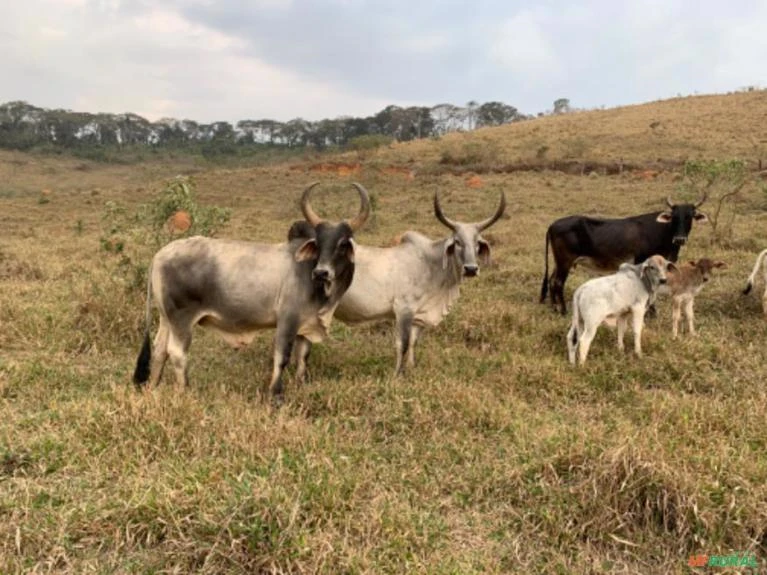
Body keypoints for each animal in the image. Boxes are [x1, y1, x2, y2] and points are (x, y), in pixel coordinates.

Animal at [132, 182, 372, 402]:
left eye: (342, 244)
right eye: (319, 243)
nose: (322, 272)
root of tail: (161, 254)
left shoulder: (306, 325)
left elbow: (303, 358)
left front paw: (300, 385)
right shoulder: (288, 320)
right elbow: (282, 357)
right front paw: (275, 395)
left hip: (166, 318)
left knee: (160, 350)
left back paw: (153, 388)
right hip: (181, 319)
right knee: (176, 352)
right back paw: (185, 392)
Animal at [284, 190, 508, 378]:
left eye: (477, 243)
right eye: (458, 242)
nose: (471, 269)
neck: (430, 263)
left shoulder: (419, 315)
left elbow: (414, 343)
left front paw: (411, 368)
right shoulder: (403, 309)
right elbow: (403, 343)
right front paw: (397, 375)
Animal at [540, 195, 708, 316]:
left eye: (690, 216)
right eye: (674, 216)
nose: (680, 239)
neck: (662, 231)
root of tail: (553, 224)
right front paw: (650, 312)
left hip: (559, 262)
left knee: (552, 281)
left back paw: (554, 307)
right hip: (565, 261)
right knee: (558, 283)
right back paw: (563, 310)